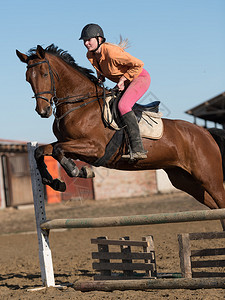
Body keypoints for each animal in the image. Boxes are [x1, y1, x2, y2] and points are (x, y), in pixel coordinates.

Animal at [16, 44, 225, 227]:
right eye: (28, 79)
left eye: (44, 74)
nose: (43, 111)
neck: (80, 104)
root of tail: (205, 132)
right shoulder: (71, 143)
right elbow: (41, 151)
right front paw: (55, 182)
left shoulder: (94, 148)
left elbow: (58, 150)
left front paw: (79, 171)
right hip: (185, 180)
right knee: (215, 207)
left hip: (209, 178)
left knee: (220, 202)